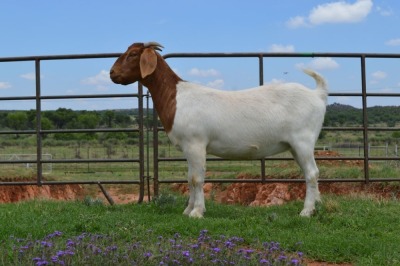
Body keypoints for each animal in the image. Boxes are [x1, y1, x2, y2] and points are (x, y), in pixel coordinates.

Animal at [110, 41, 328, 216]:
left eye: (132, 54)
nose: (112, 73)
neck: (177, 97)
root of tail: (317, 94)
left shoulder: (195, 143)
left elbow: (197, 178)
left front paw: (197, 212)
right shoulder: (188, 147)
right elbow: (189, 178)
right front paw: (188, 210)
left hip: (303, 140)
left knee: (311, 173)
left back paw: (306, 211)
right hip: (295, 146)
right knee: (310, 173)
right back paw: (317, 206)